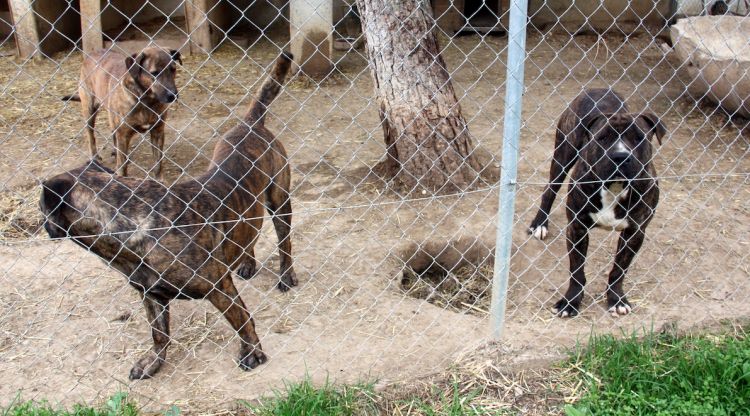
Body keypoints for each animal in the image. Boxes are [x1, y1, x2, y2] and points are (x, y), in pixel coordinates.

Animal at [63, 47, 182, 180]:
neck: (146, 101)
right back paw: (95, 156)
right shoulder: (123, 134)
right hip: (89, 109)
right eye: (154, 73)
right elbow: (122, 166)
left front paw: (159, 180)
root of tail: (93, 52)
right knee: (90, 135)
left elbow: (158, 162)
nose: (173, 95)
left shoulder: (158, 131)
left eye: (173, 69)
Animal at [528, 87, 668, 316]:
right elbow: (576, 270)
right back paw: (539, 224)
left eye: (639, 138)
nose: (620, 156)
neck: (615, 187)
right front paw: (570, 302)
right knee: (549, 191)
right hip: (563, 154)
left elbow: (619, 269)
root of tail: (599, 88)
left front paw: (616, 299)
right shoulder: (577, 227)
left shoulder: (635, 232)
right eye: (602, 138)